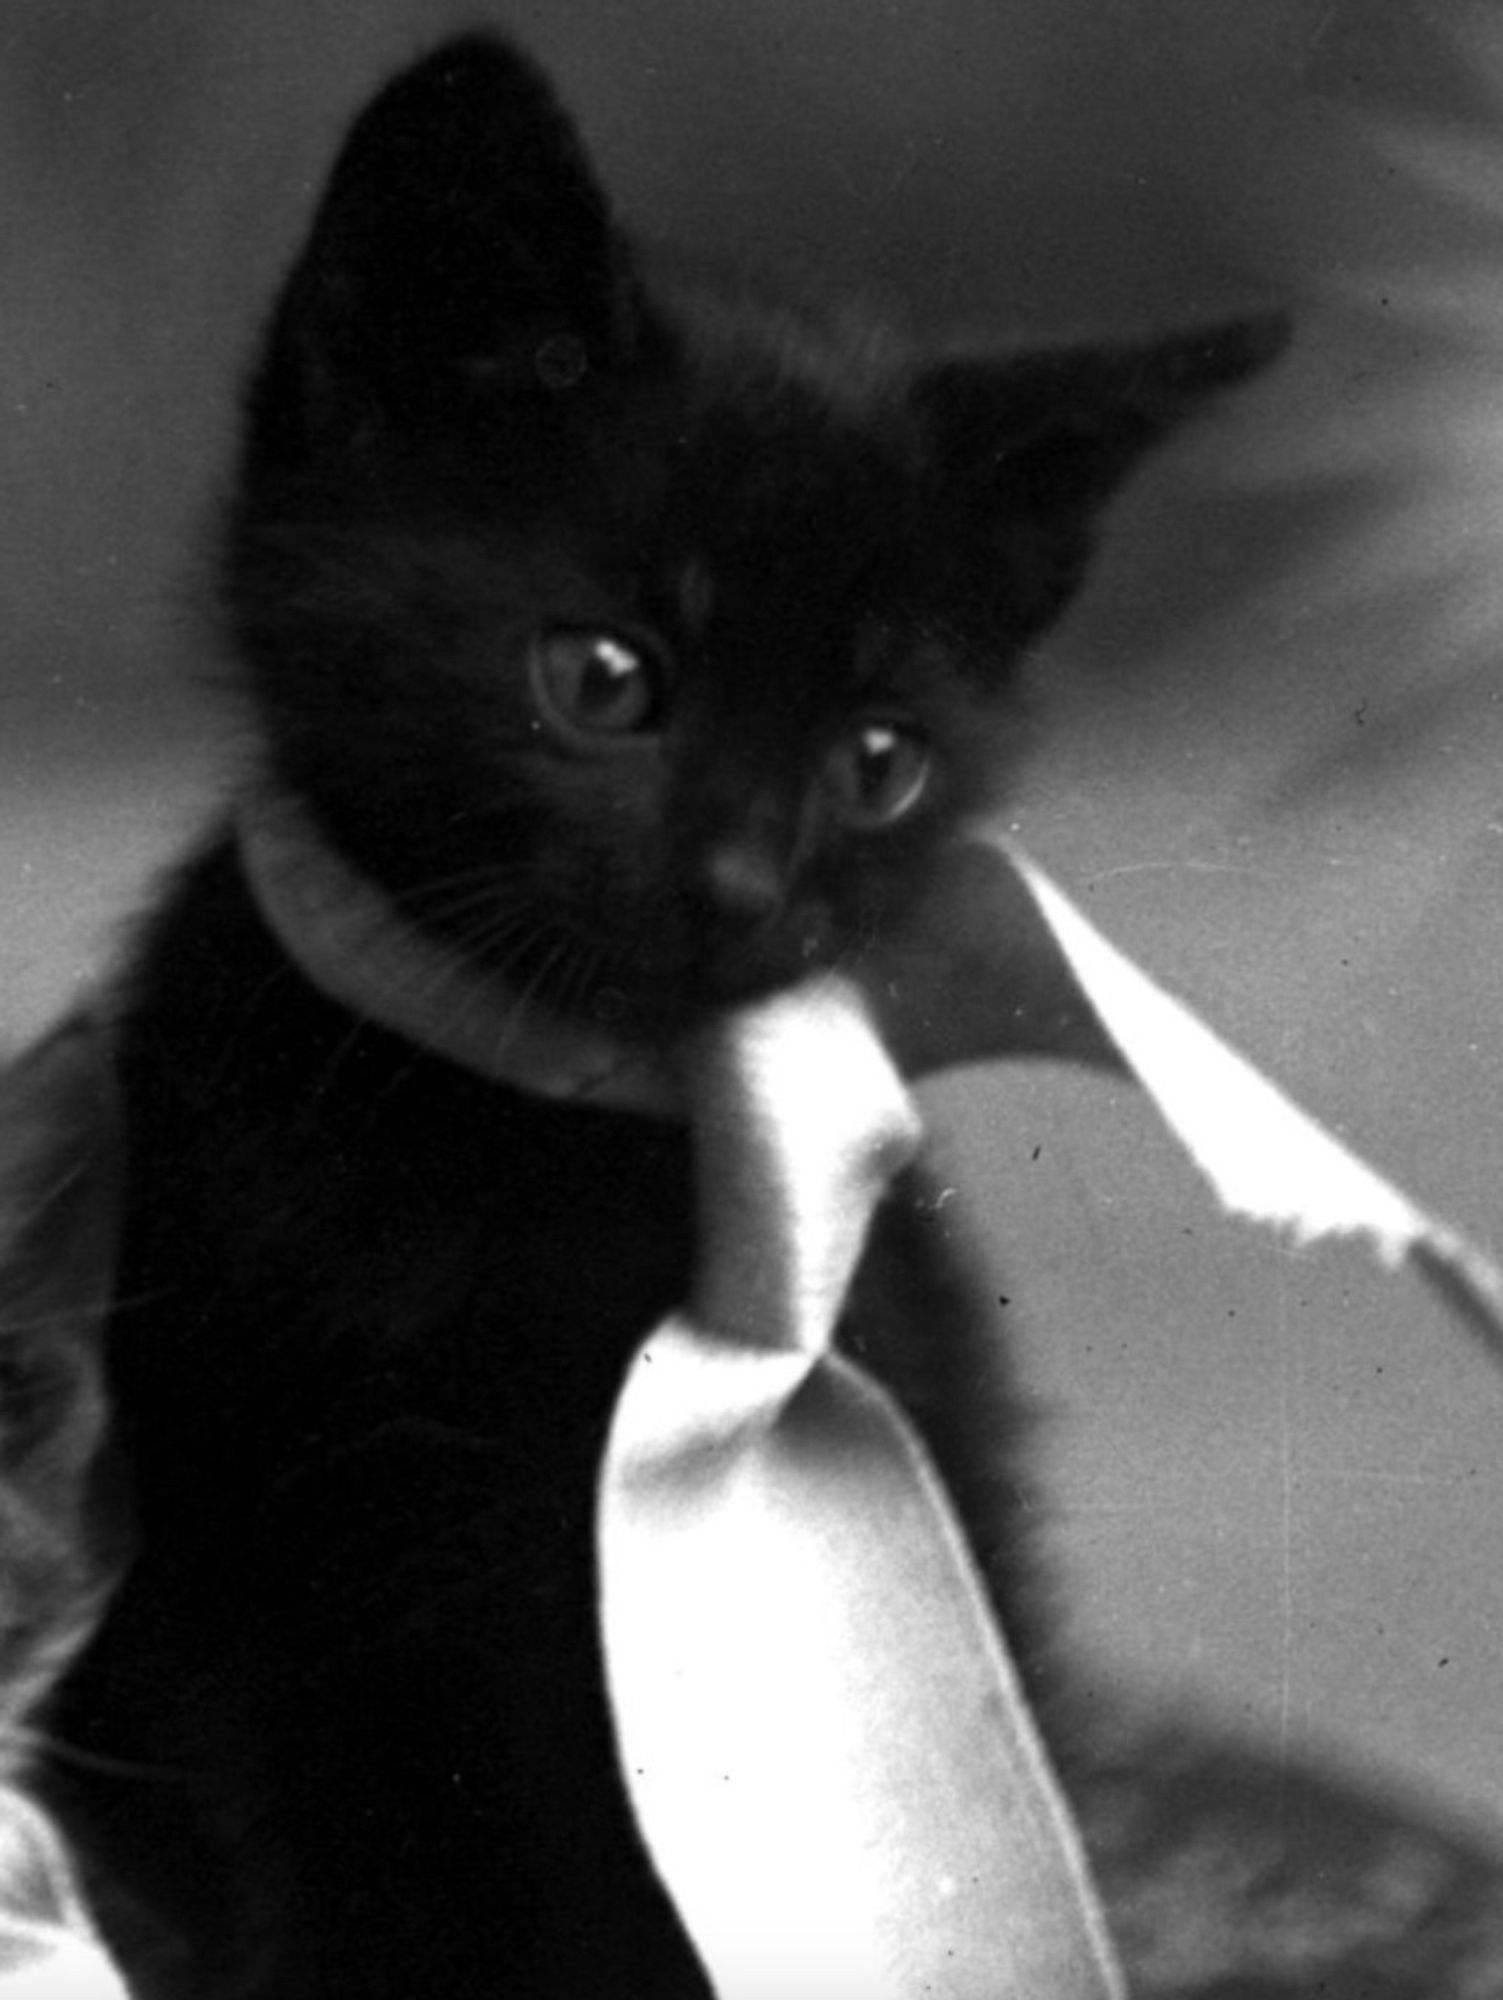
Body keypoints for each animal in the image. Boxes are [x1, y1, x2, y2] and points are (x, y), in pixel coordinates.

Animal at [32, 31, 1279, 2000]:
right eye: (604, 678)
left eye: (875, 761)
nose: (747, 883)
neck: (537, 1135)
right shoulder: (222, 1595)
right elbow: (284, 1879)